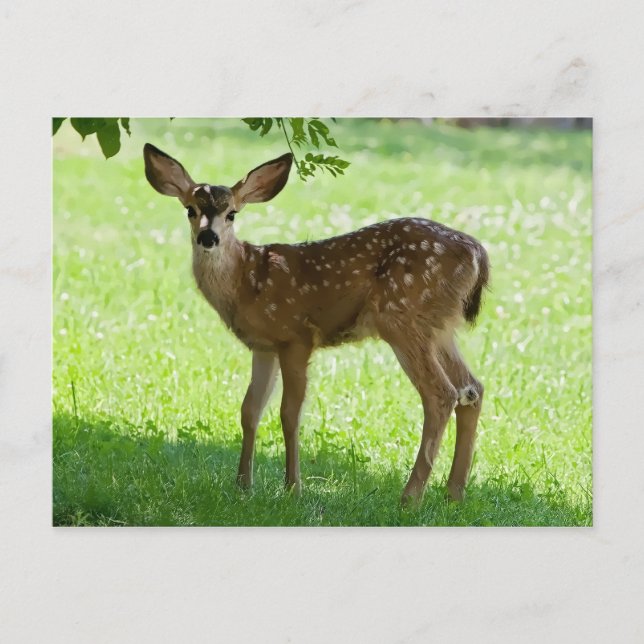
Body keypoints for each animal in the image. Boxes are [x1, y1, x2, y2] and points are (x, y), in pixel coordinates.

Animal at [143, 143, 489, 505]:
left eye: (232, 214)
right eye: (190, 209)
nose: (208, 238)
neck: (246, 281)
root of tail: (478, 254)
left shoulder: (296, 336)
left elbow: (289, 412)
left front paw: (292, 487)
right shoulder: (263, 346)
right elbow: (250, 410)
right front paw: (243, 485)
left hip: (402, 317)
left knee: (441, 394)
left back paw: (410, 498)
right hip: (439, 328)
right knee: (472, 389)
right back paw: (454, 494)